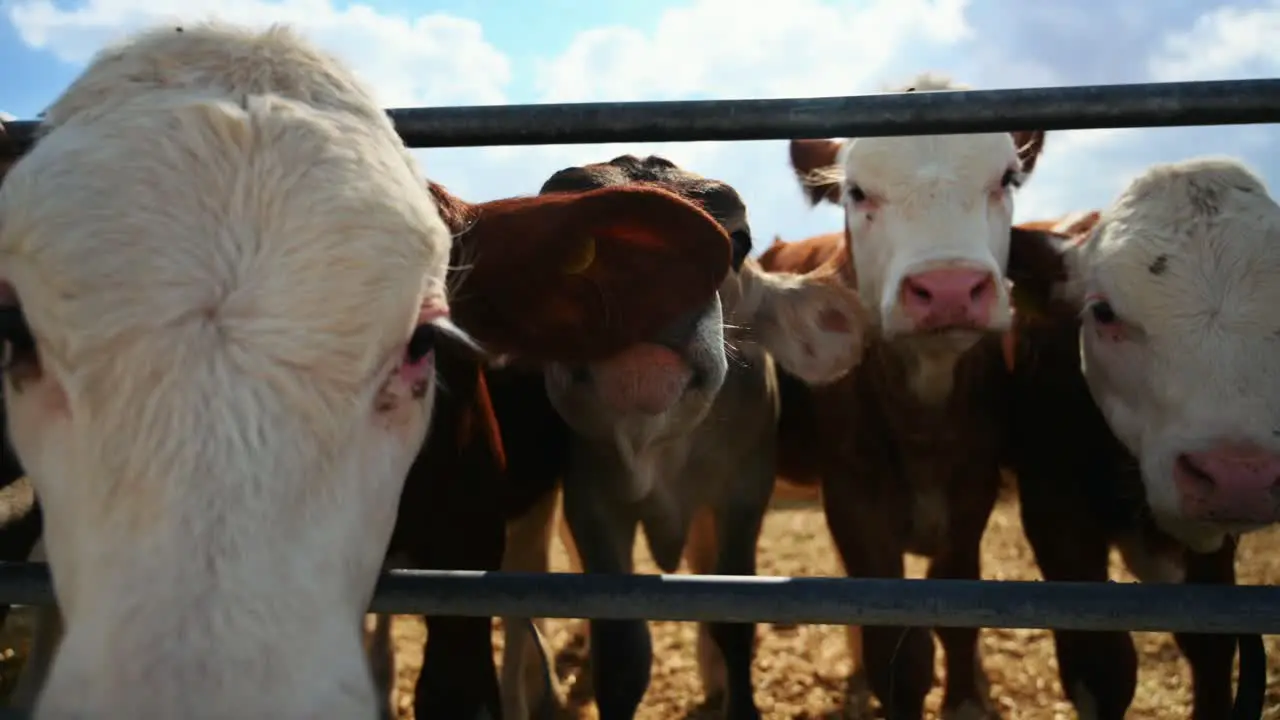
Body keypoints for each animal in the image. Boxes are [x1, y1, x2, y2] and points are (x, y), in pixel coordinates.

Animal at [491, 155, 870, 717]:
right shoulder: (592, 504)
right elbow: (622, 651)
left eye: (737, 242)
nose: (643, 272)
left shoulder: (741, 498)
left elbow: (731, 620)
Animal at [752, 74, 1044, 717]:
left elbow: (958, 612)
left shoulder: (973, 490)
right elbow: (897, 650)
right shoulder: (853, 499)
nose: (950, 287)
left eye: (1006, 179)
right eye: (857, 192)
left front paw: (965, 696)